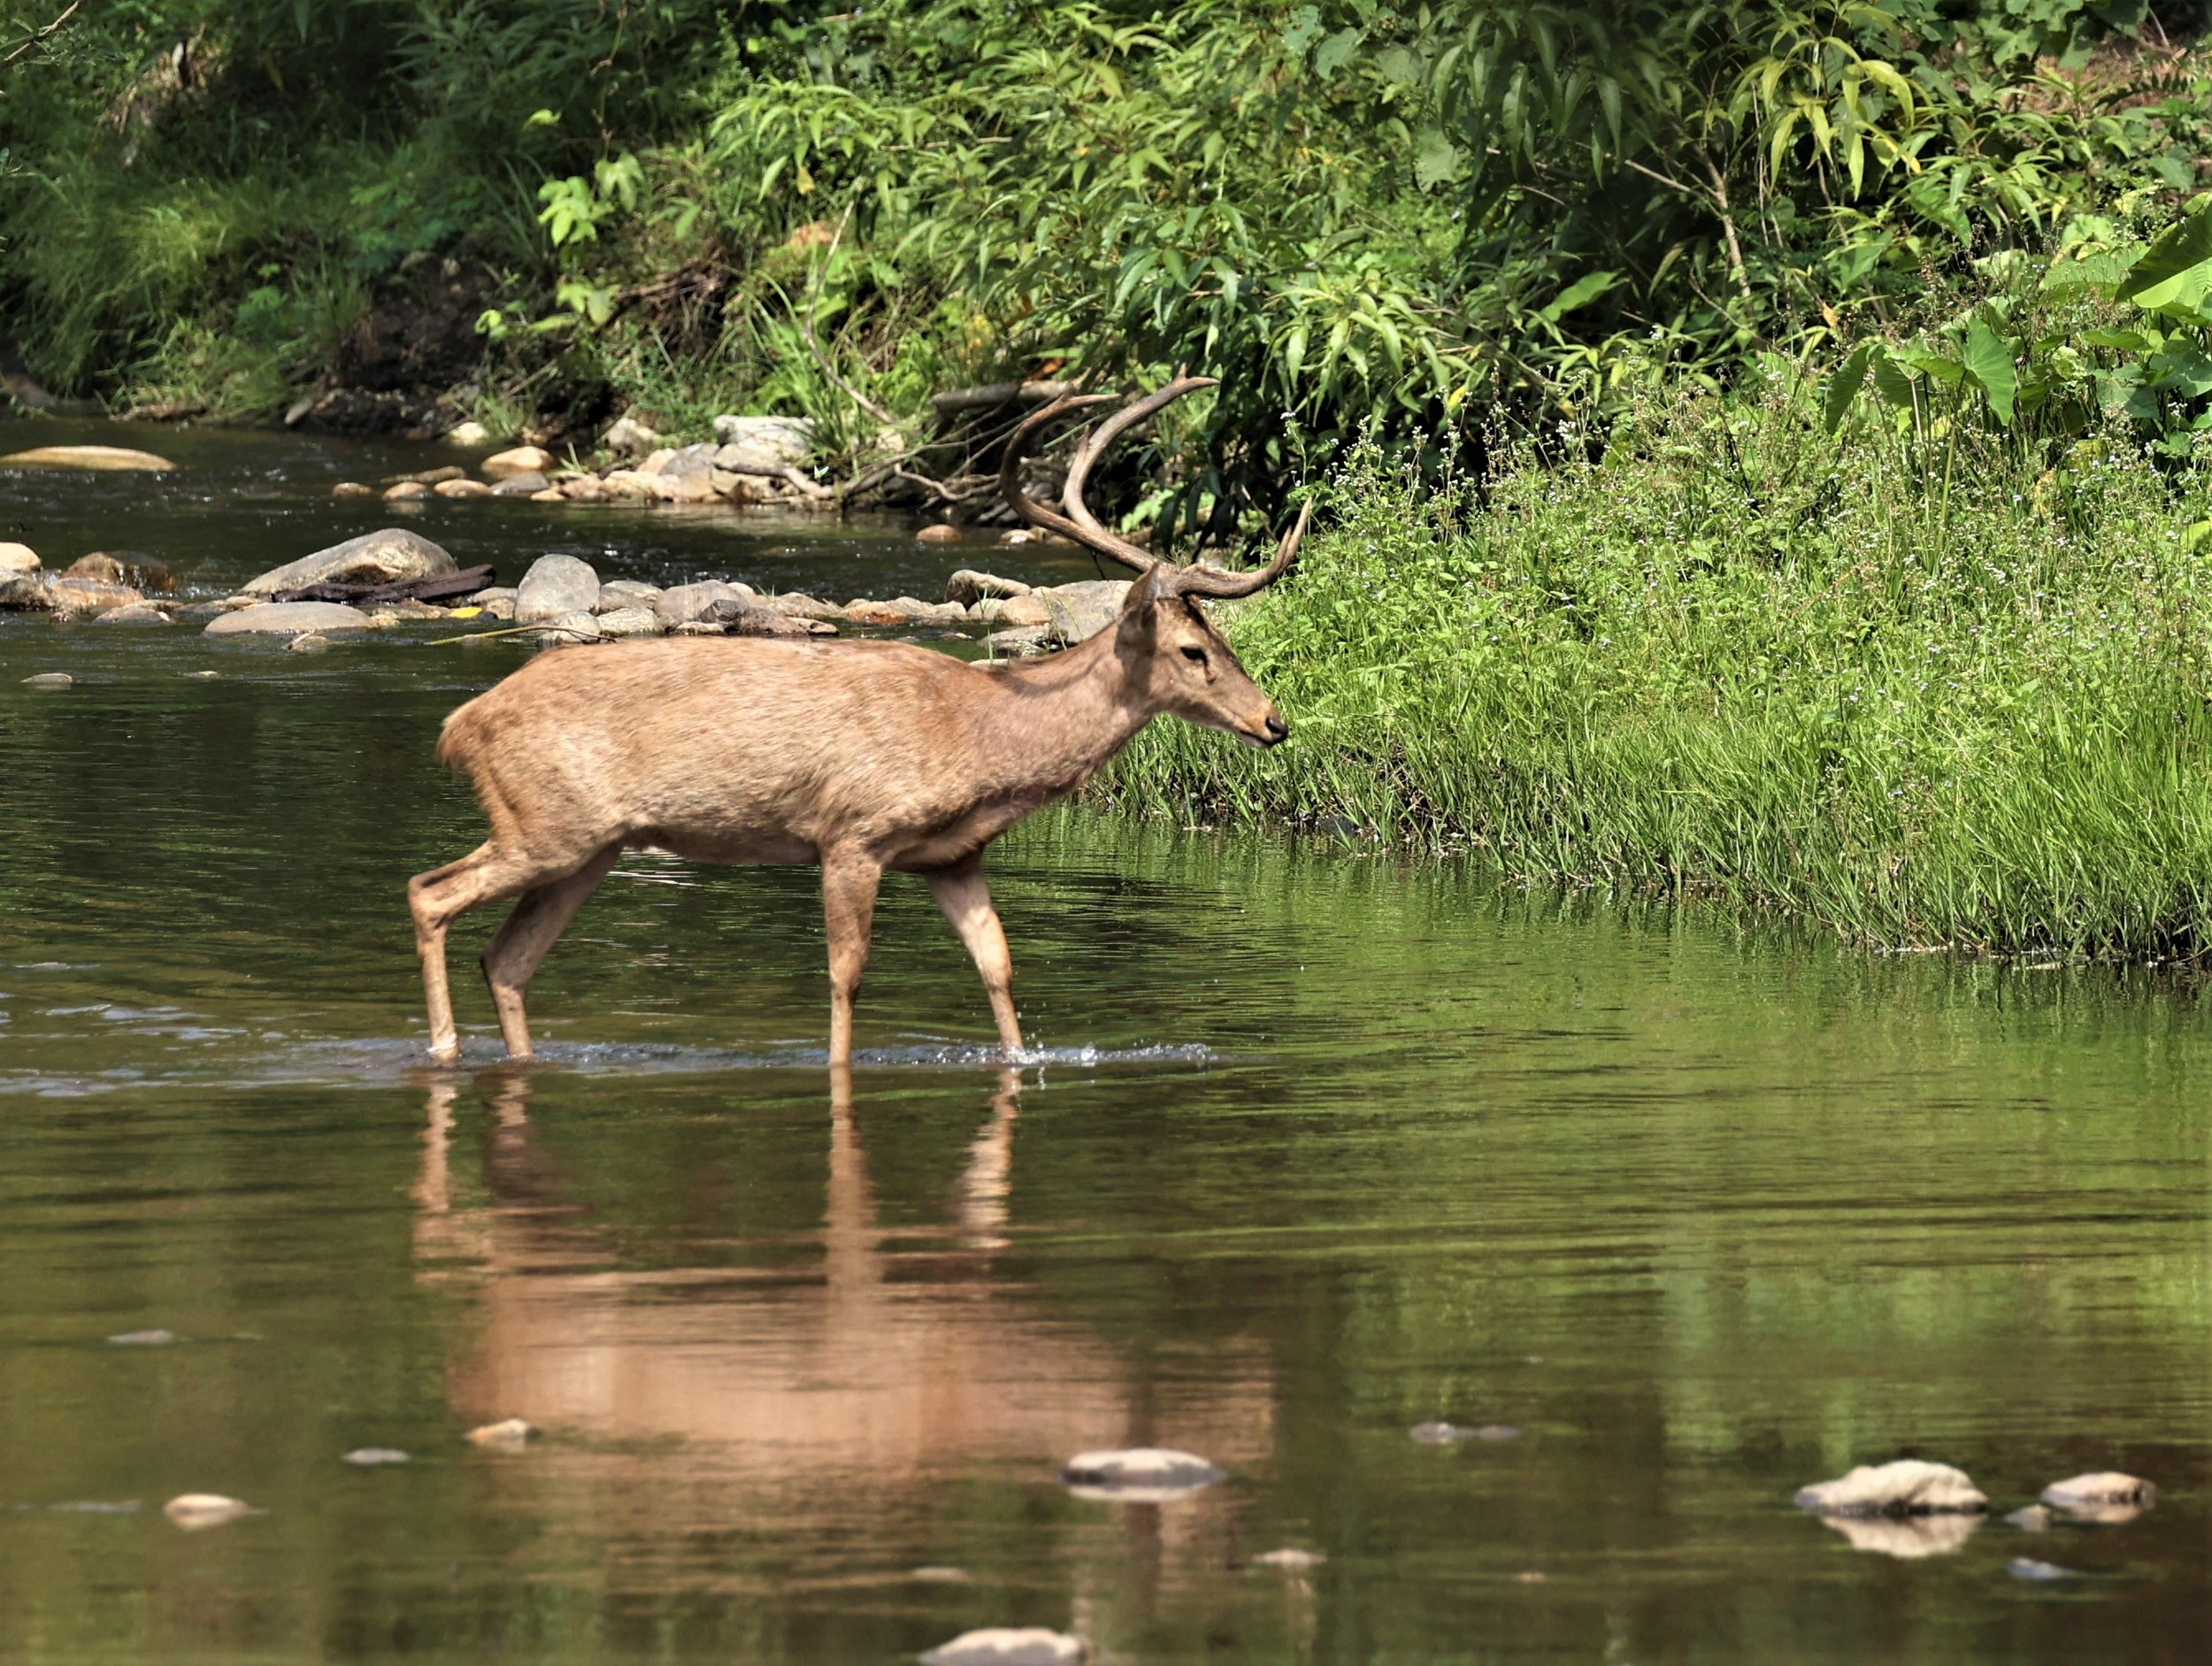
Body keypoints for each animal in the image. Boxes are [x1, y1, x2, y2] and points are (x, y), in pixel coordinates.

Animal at [408, 375, 1308, 1065]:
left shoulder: (954, 857)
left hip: (588, 844)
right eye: (1194, 648)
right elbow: (846, 976)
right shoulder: (851, 831)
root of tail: (459, 725)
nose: (1274, 721)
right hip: (546, 822)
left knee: (507, 958)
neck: (983, 737)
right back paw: (442, 1050)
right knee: (429, 892)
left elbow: (999, 966)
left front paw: (1020, 1060)